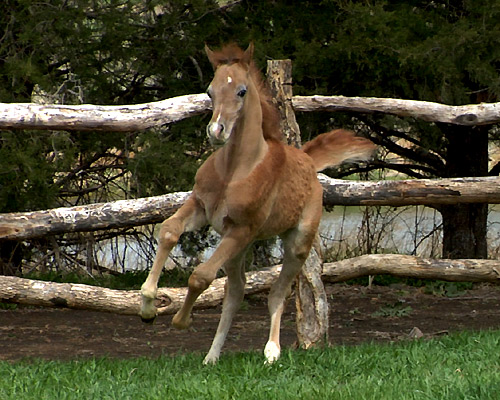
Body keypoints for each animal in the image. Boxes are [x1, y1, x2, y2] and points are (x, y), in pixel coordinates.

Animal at [141, 43, 376, 362]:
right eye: (209, 92)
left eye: (241, 91)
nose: (217, 131)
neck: (233, 170)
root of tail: (308, 160)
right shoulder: (201, 207)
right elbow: (168, 231)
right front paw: (147, 308)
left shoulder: (243, 228)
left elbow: (201, 276)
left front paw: (180, 320)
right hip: (238, 246)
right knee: (236, 292)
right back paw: (211, 357)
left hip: (294, 242)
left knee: (276, 293)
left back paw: (271, 352)